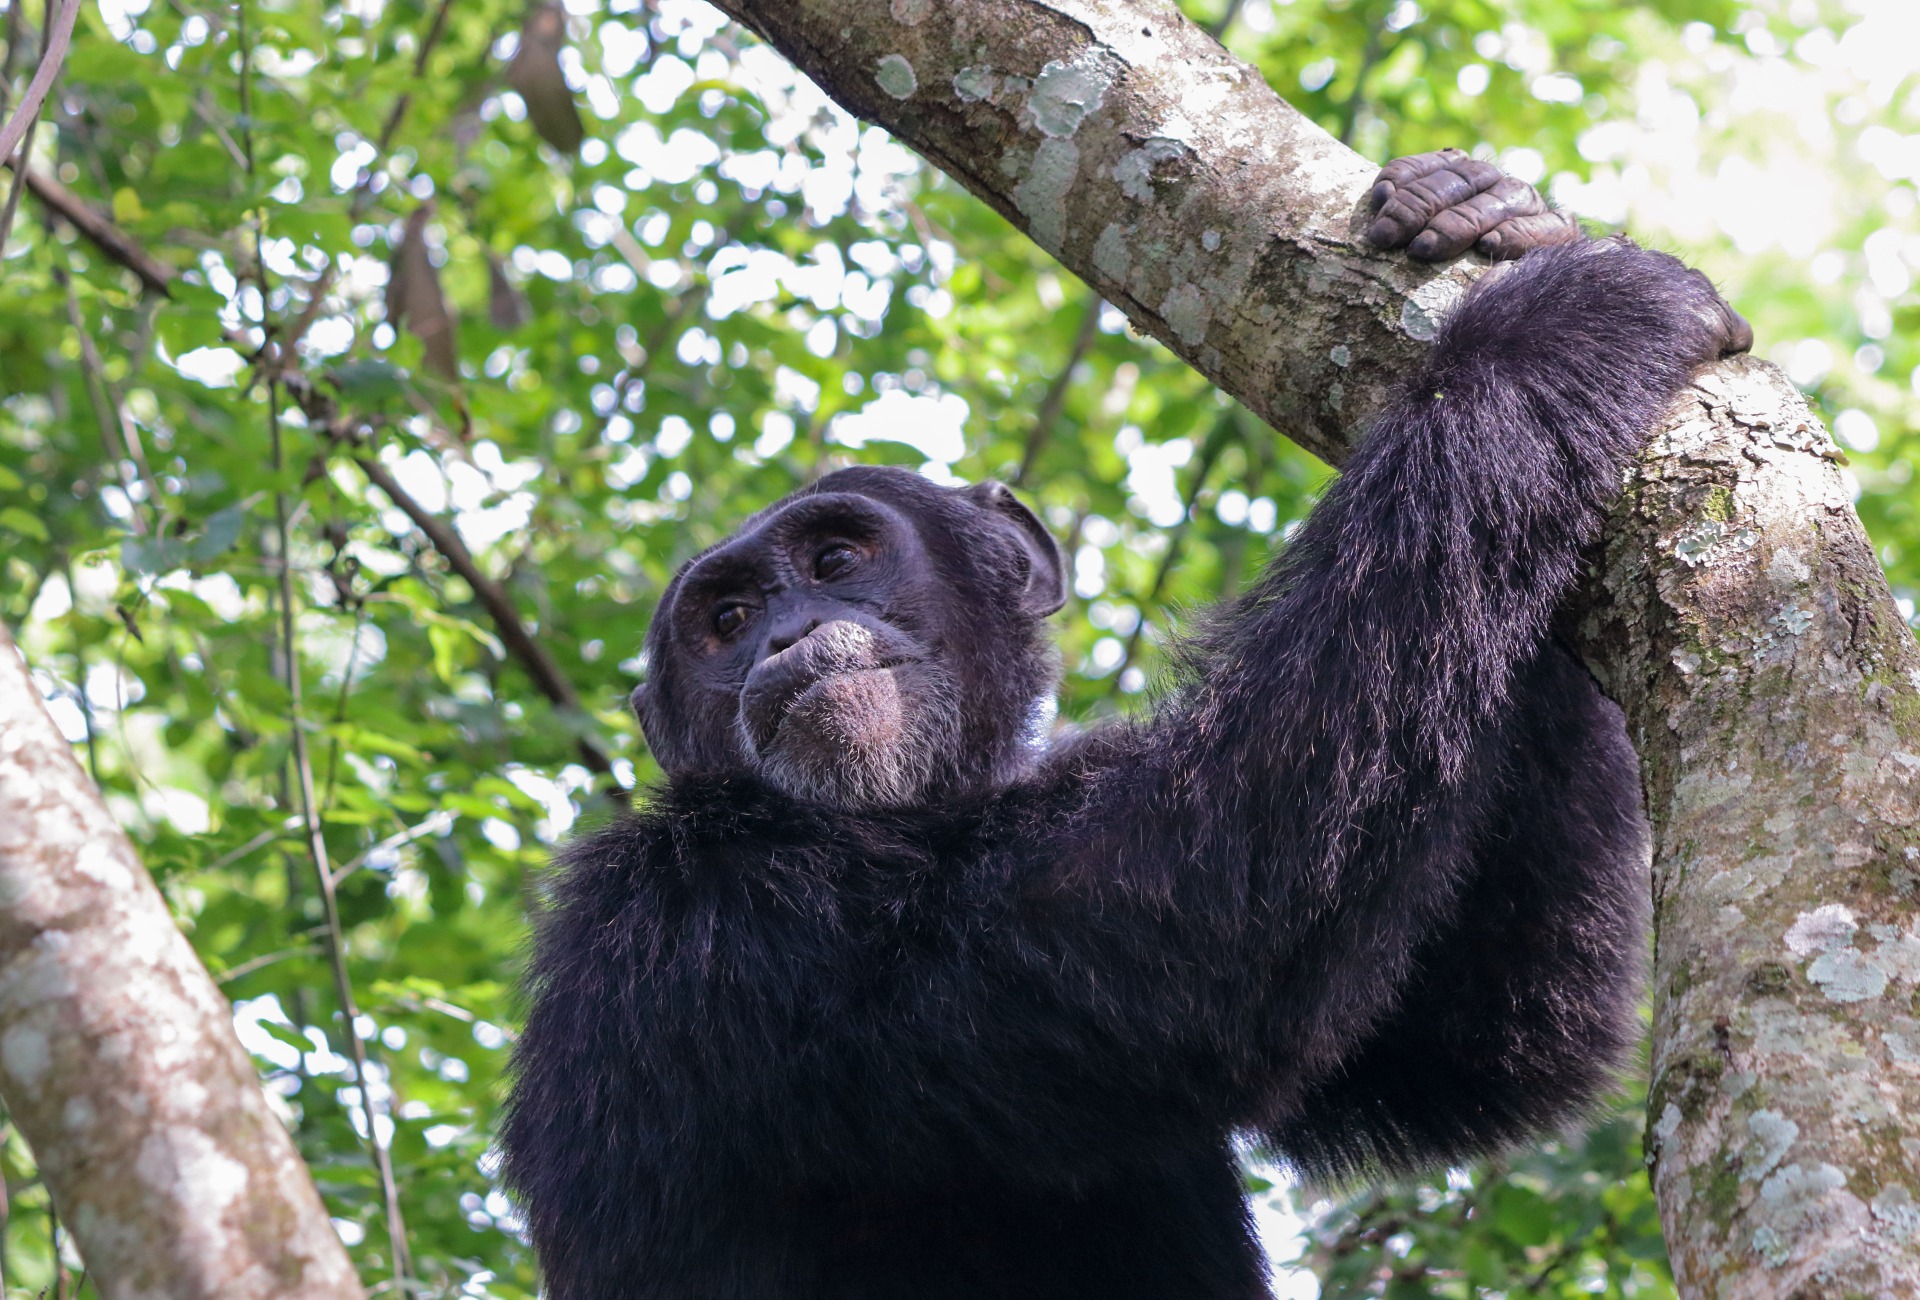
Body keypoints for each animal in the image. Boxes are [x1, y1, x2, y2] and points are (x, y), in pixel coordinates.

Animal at [499, 154, 1758, 1298]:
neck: (898, 817)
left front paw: (1490, 210)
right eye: (725, 617)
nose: (786, 634)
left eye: (838, 558)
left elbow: (1457, 1048)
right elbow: (1194, 926)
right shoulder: (697, 912)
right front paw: (1564, 321)